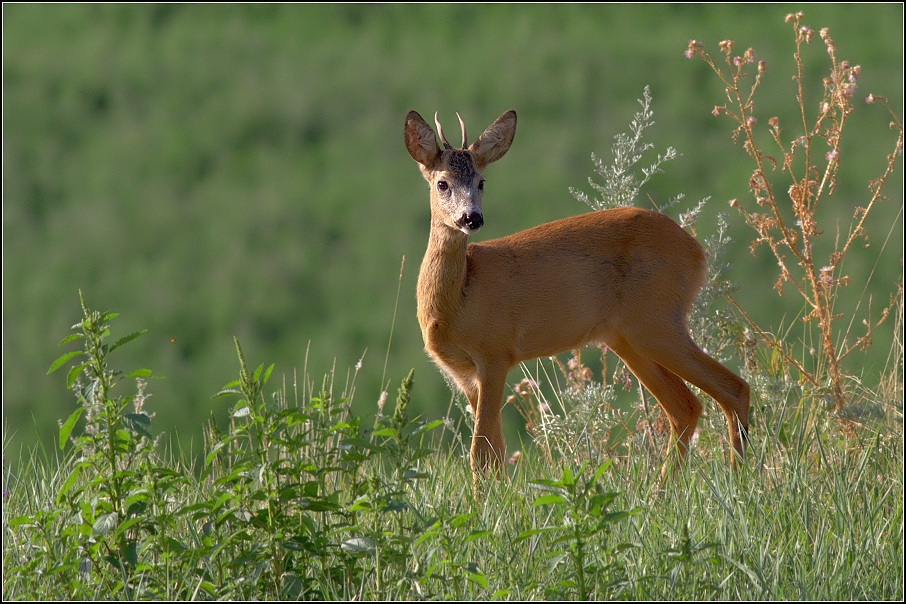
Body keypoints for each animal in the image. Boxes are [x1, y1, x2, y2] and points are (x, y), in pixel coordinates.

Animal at [404, 109, 748, 482]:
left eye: (482, 182)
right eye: (442, 183)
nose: (472, 218)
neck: (459, 302)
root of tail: (698, 252)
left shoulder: (495, 353)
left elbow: (480, 452)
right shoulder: (464, 374)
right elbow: (495, 454)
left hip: (656, 321)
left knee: (732, 387)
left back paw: (740, 479)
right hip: (626, 336)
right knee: (686, 405)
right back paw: (667, 488)